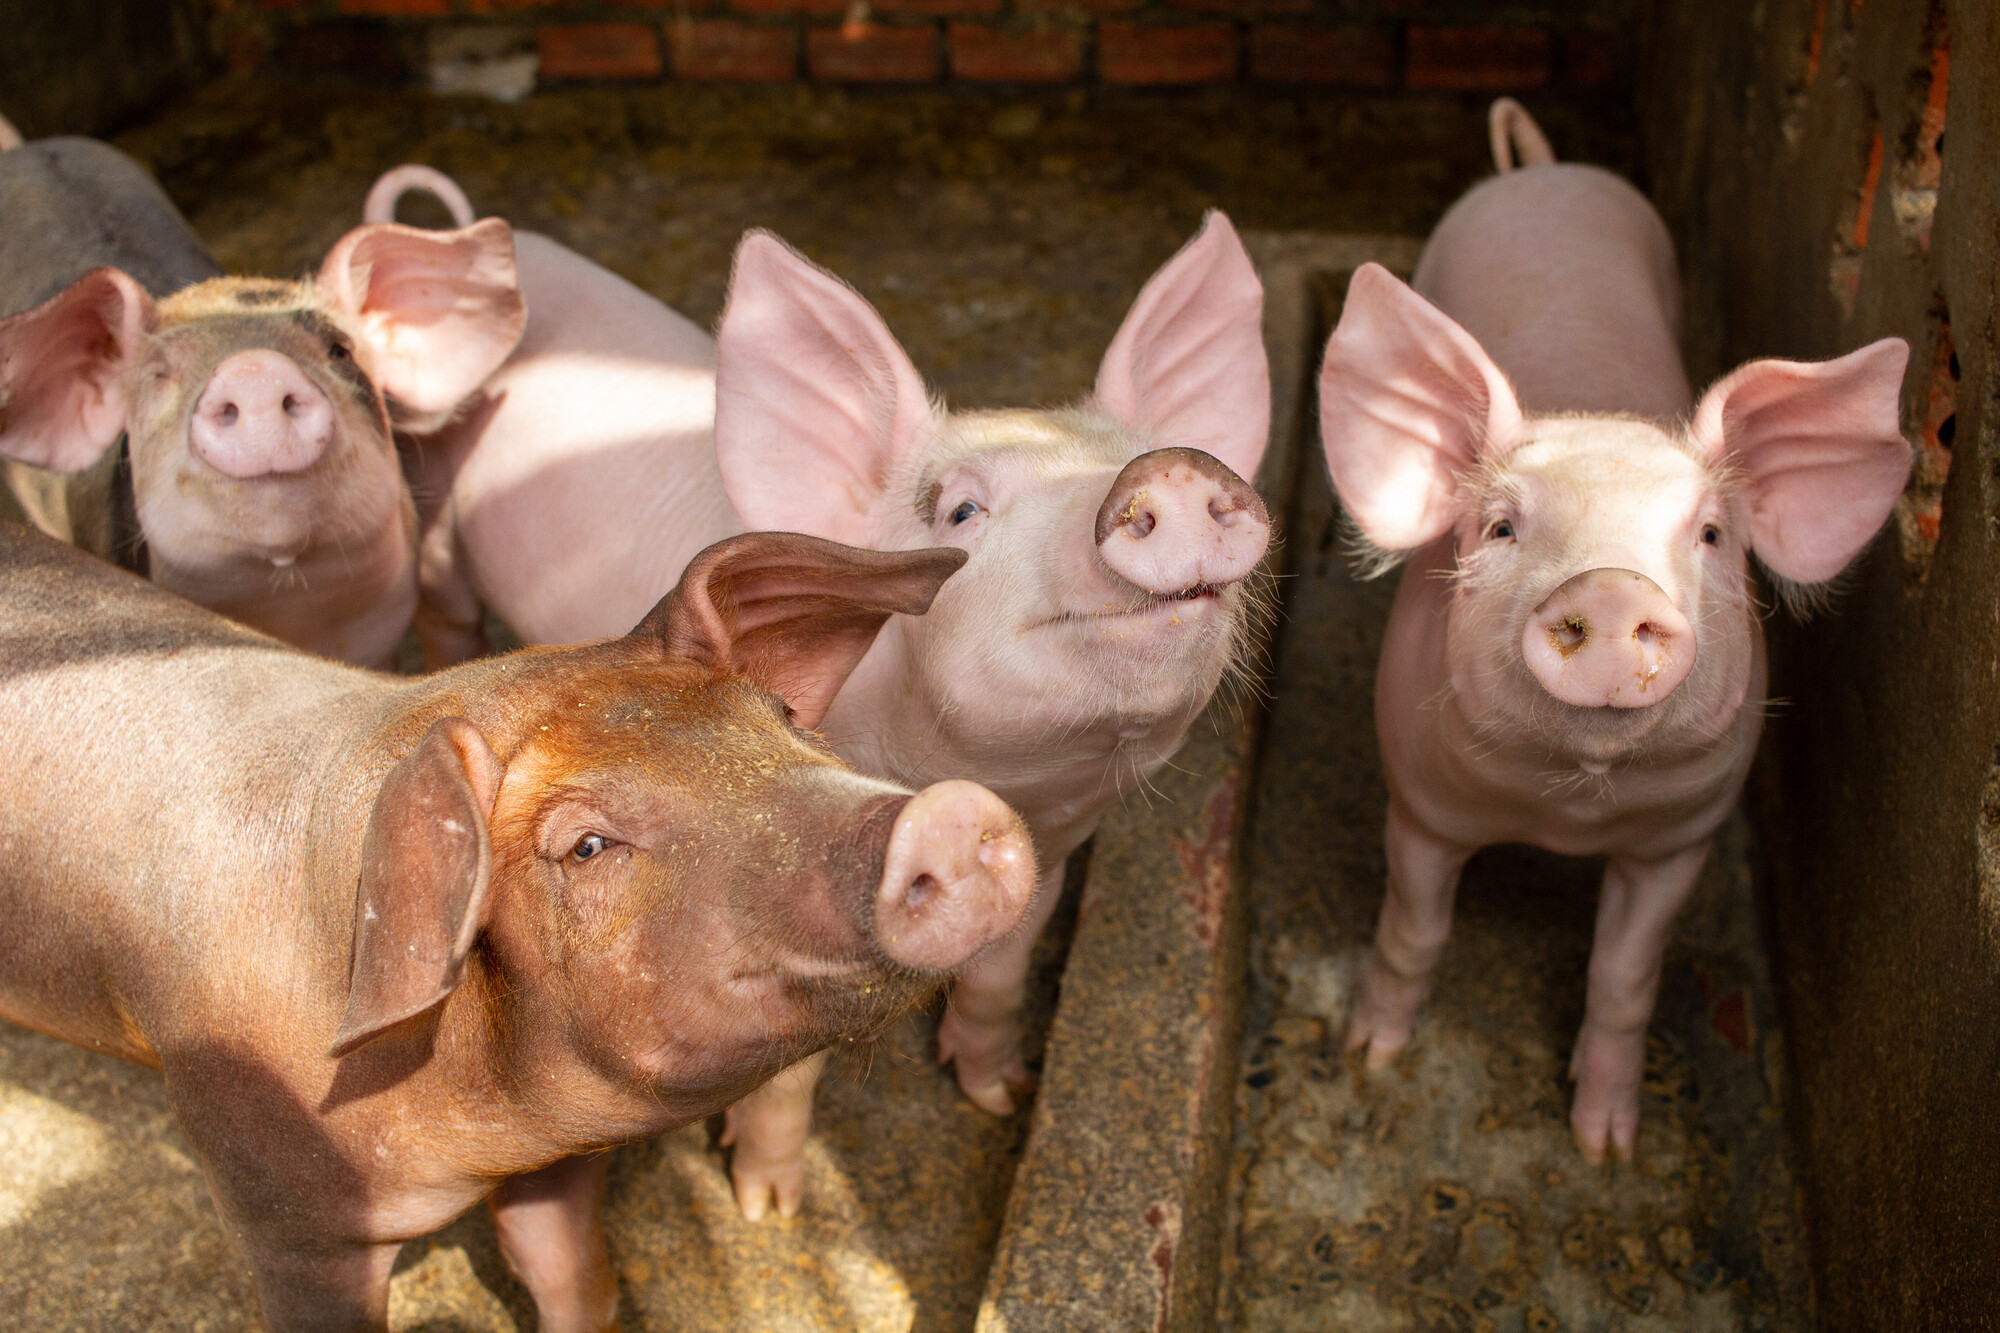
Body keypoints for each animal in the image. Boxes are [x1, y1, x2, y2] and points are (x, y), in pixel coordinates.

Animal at [0, 520, 1040, 1328]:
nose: (950, 810)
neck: (477, 1125)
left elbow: (567, 1272)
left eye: (782, 712)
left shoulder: (560, 1151)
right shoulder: (275, 1201)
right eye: (586, 845)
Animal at [376, 174, 1272, 1216]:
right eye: (961, 510)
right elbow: (790, 1075)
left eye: (1153, 450)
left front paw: (998, 1095)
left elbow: (1000, 978)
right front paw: (767, 1208)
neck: (1002, 783)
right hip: (433, 513)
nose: (1171, 467)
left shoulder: (1050, 857)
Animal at [1312, 101, 1904, 1160]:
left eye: (1710, 535)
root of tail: (1543, 170)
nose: (1620, 589)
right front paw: (1370, 1058)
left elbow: (1626, 976)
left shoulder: (1683, 835)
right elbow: (1414, 928)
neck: (1570, 812)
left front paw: (1607, 1147)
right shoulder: (1419, 802)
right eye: (1501, 527)